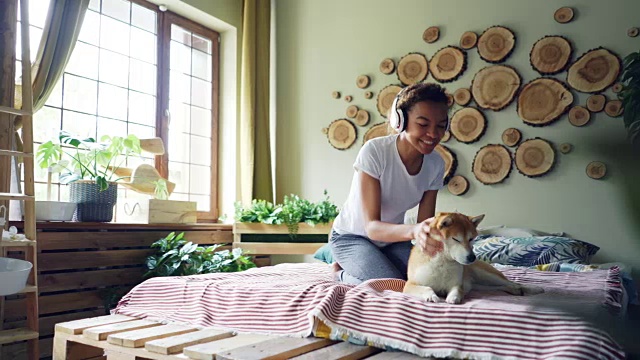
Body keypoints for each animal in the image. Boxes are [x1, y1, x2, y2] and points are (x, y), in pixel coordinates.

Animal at [402, 212, 544, 306]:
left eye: (471, 239)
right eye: (456, 239)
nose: (472, 257)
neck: (443, 262)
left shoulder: (457, 284)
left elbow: (457, 290)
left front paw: (454, 297)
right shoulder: (410, 285)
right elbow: (426, 288)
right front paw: (431, 295)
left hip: (487, 275)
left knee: (512, 283)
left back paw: (531, 288)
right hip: (479, 285)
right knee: (501, 286)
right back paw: (514, 291)